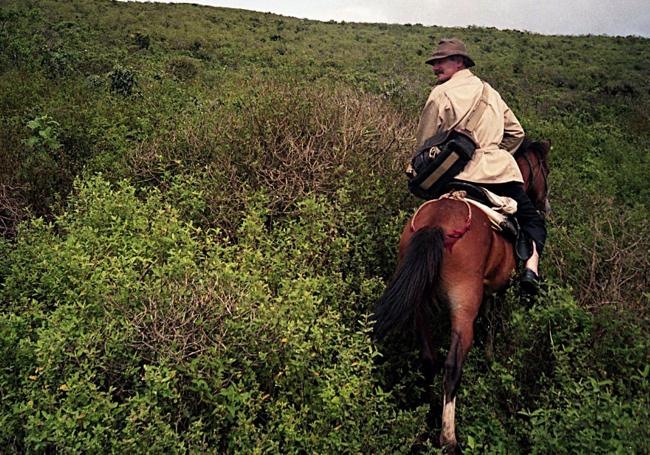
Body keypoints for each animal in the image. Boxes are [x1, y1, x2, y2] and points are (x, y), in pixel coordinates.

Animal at [374, 139, 548, 452]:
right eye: (545, 170)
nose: (544, 205)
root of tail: (438, 225)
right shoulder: (497, 288)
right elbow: (491, 322)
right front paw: (490, 356)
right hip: (464, 305)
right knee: (452, 365)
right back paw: (449, 439)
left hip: (420, 307)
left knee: (429, 360)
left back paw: (430, 415)